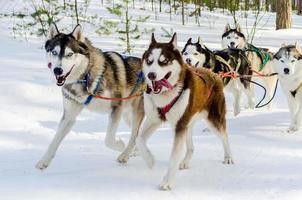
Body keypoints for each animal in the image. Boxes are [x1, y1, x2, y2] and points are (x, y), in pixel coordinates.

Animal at [35, 23, 144, 170]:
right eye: (54, 52)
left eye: (70, 54)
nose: (58, 70)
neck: (85, 77)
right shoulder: (69, 116)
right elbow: (55, 140)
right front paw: (44, 161)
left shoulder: (116, 107)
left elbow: (108, 139)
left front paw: (120, 144)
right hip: (128, 116)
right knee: (138, 133)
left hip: (135, 112)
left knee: (134, 135)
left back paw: (125, 154)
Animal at [137, 33, 234, 190]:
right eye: (149, 61)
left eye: (164, 61)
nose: (151, 75)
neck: (168, 93)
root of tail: (213, 74)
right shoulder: (154, 120)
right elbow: (139, 139)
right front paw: (150, 159)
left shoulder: (180, 125)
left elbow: (174, 156)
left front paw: (167, 181)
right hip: (187, 123)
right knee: (191, 147)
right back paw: (185, 161)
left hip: (214, 119)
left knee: (225, 137)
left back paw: (229, 157)